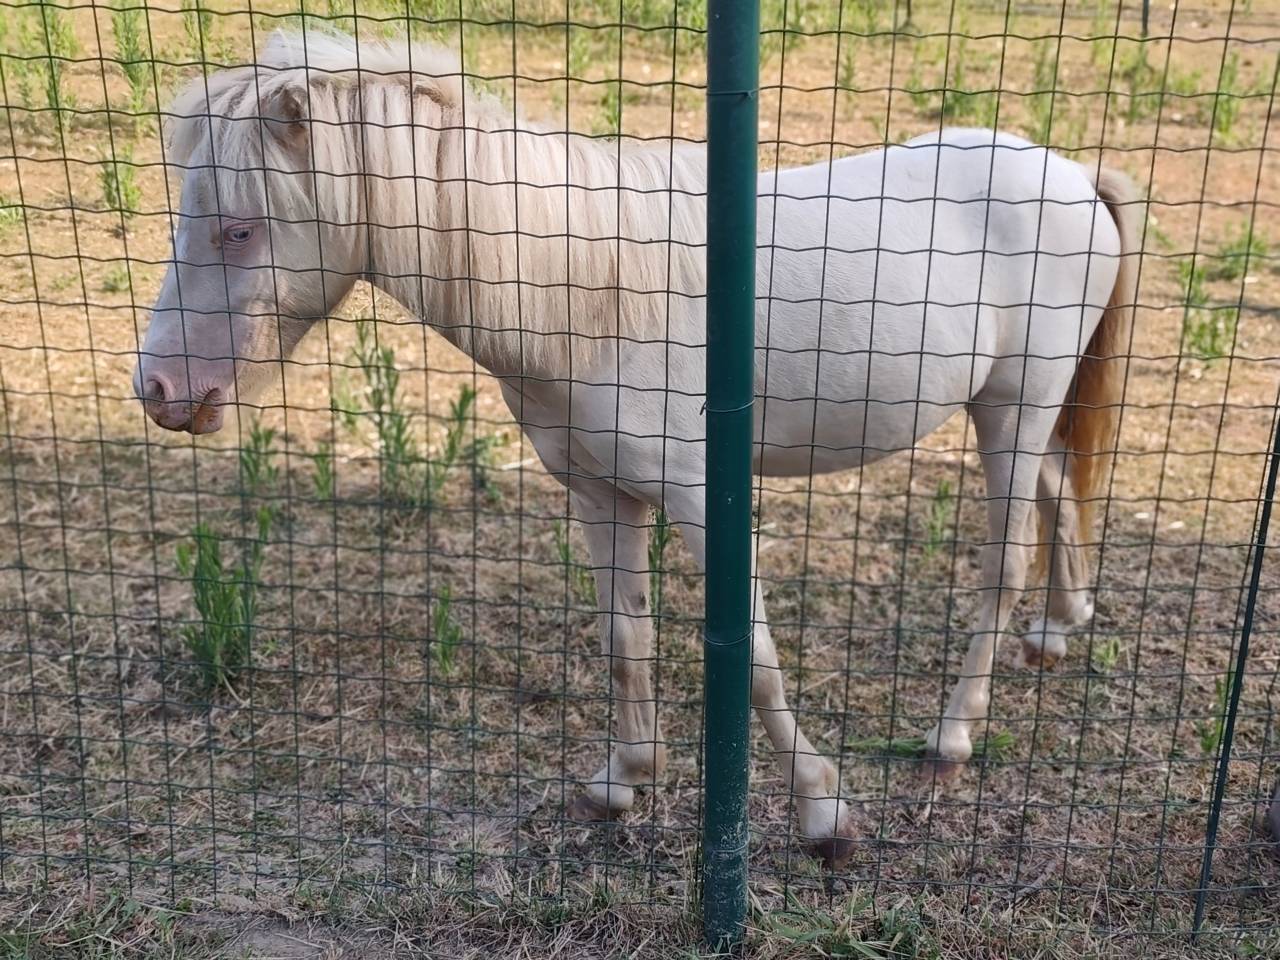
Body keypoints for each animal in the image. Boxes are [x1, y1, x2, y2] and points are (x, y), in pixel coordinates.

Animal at [133, 30, 1137, 867]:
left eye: (240, 227)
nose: (160, 392)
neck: (589, 289)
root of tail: (1072, 174)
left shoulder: (700, 499)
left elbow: (753, 658)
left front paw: (824, 816)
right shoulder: (599, 494)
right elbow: (625, 637)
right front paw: (622, 784)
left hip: (1013, 407)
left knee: (1003, 556)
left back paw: (952, 737)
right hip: (1010, 411)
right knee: (1056, 488)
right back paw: (1059, 629)